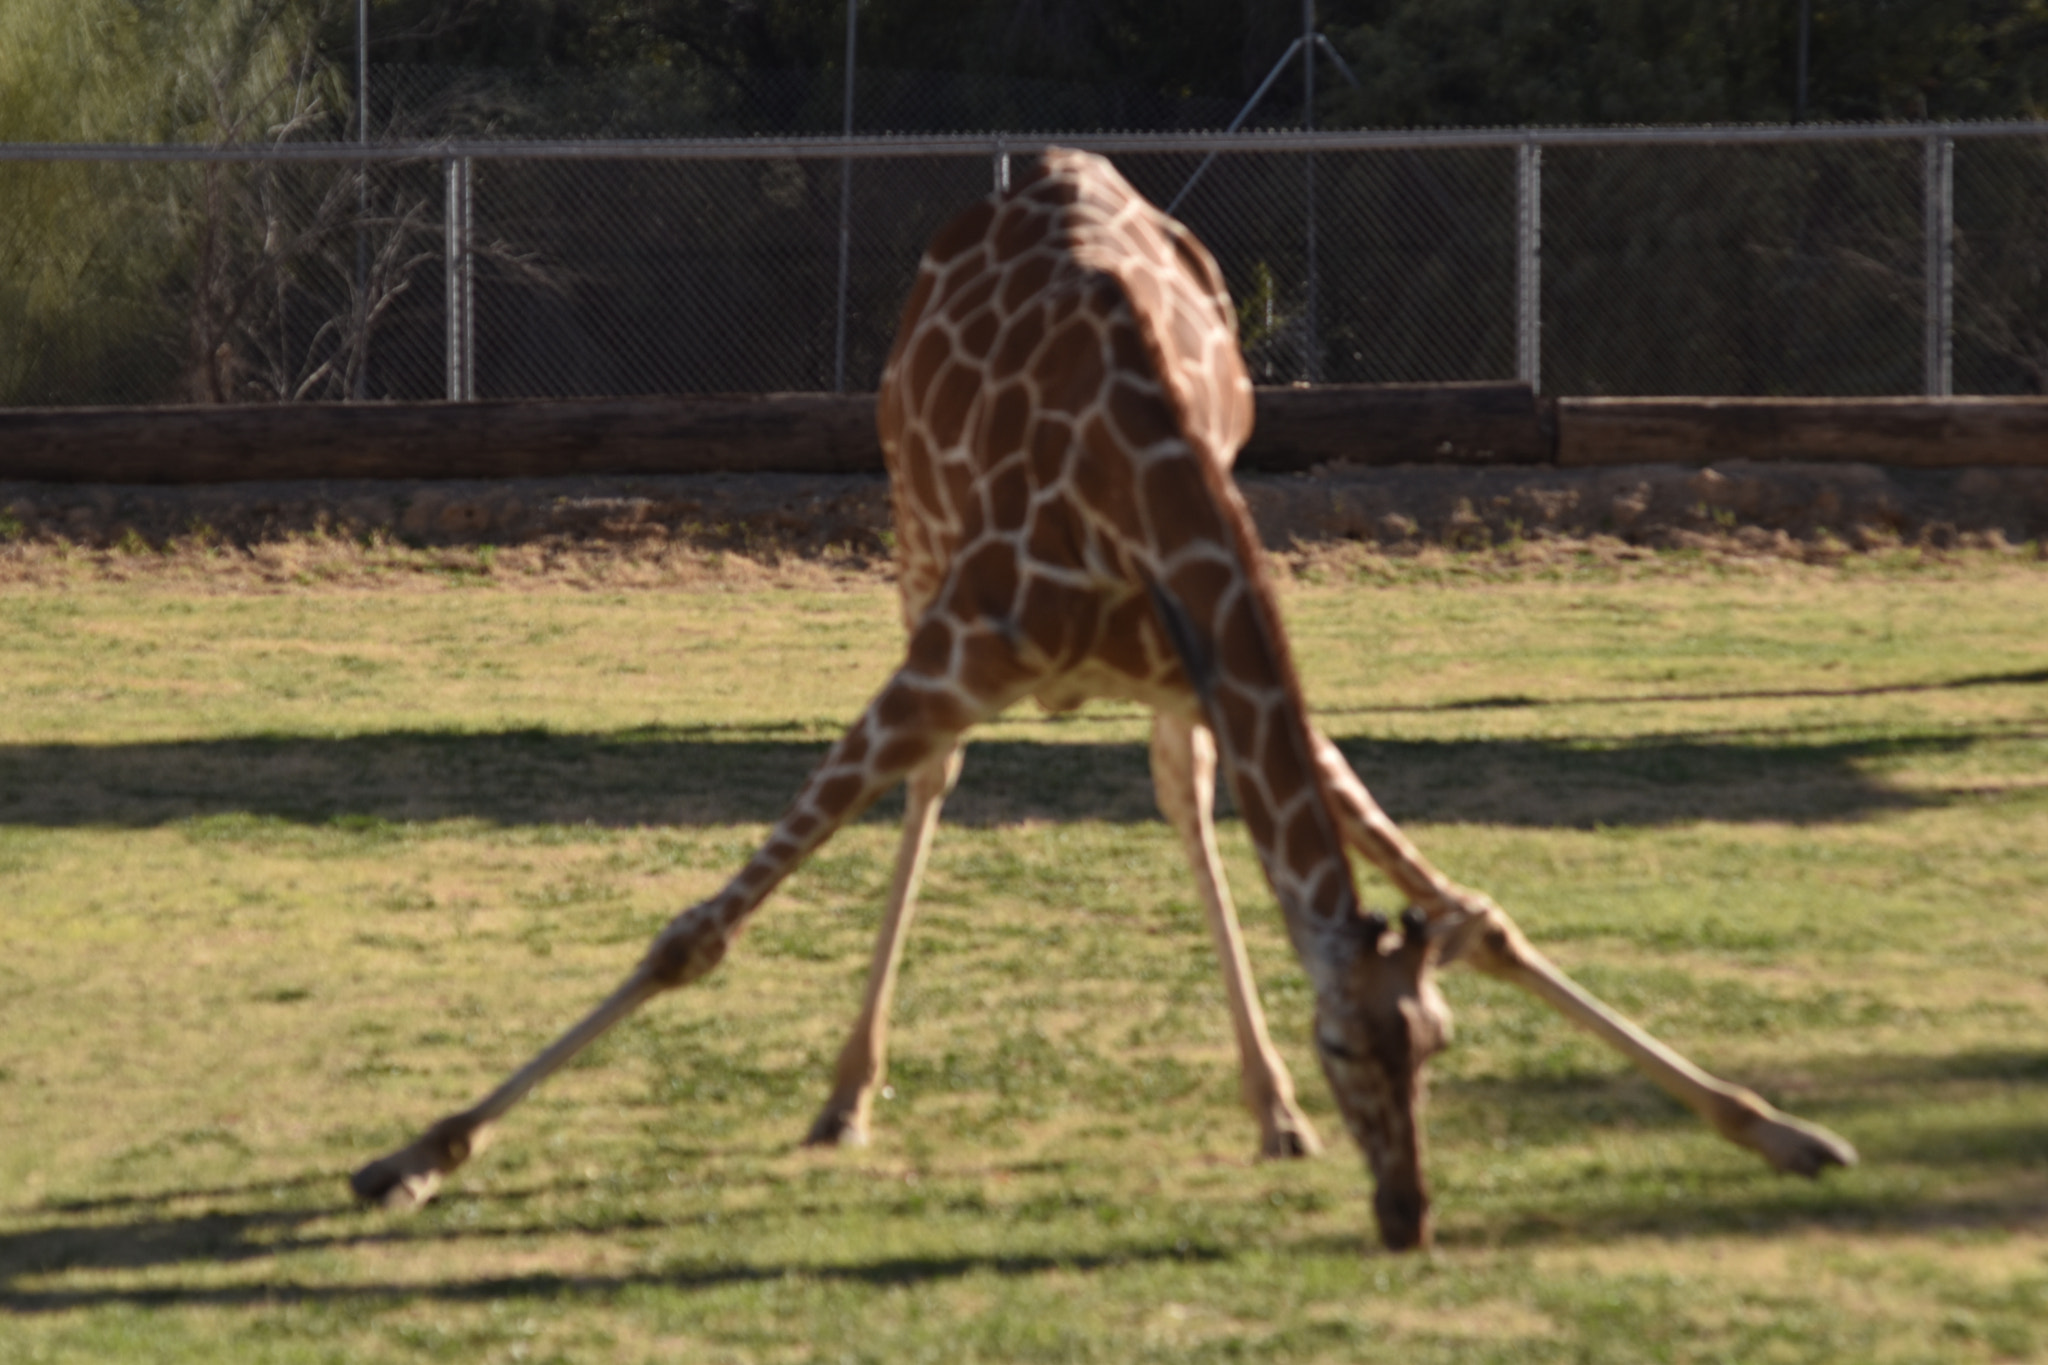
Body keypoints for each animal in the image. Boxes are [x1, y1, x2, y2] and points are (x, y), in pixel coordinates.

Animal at [352, 147, 1859, 1252]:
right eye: (1344, 1040)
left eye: (1432, 1044)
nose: (1405, 1215)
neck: (1142, 480)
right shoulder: (957, 650)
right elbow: (695, 936)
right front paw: (412, 1155)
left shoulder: (1215, 660)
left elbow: (1475, 912)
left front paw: (1785, 1130)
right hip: (910, 538)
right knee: (936, 787)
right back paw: (845, 1099)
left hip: (1144, 679)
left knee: (1178, 802)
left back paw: (1265, 1116)